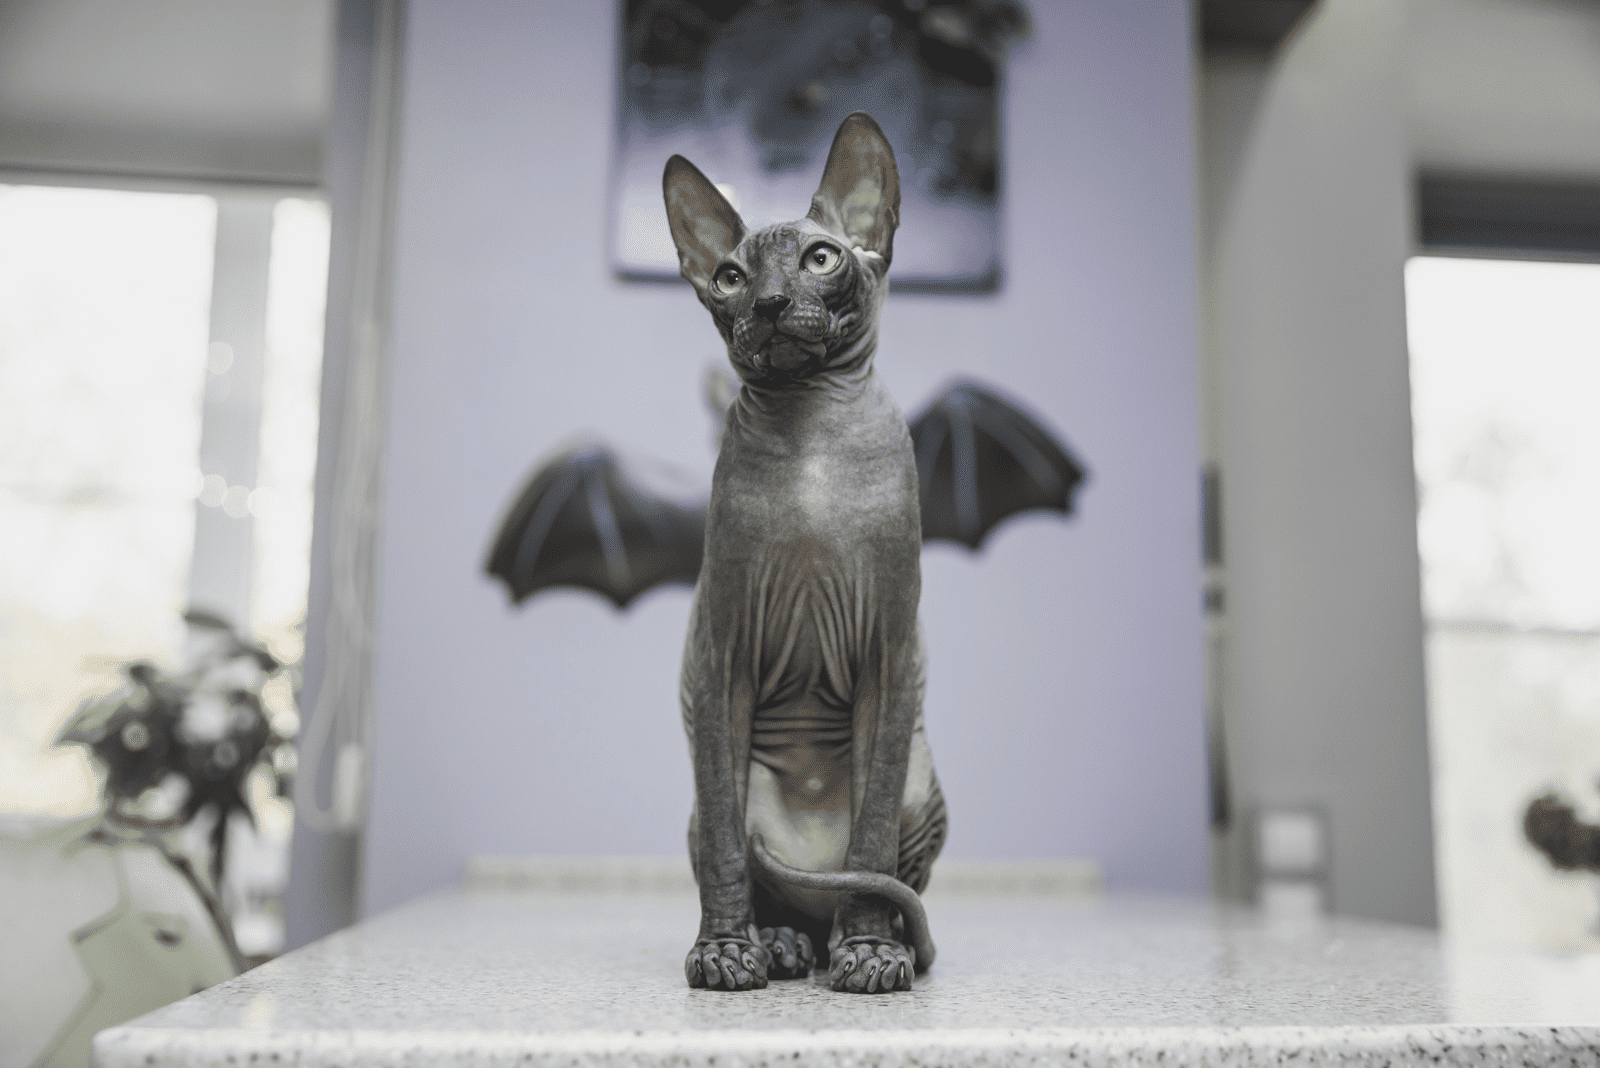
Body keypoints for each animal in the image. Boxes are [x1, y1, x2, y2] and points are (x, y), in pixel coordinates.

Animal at [665, 112, 940, 991]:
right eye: (728, 277)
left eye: (821, 258)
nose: (773, 302)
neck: (814, 432)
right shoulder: (720, 660)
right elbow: (727, 847)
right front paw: (724, 951)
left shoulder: (891, 657)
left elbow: (871, 839)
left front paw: (872, 954)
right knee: (760, 873)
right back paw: (781, 942)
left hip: (922, 776)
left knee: (875, 876)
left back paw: (863, 944)